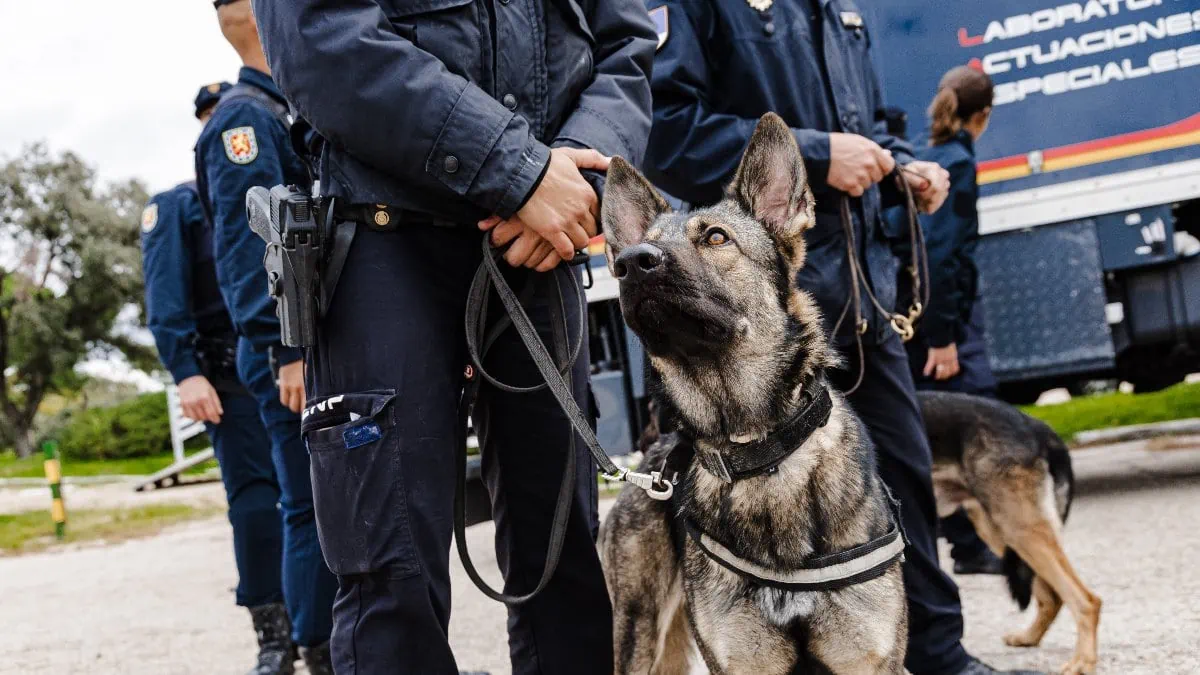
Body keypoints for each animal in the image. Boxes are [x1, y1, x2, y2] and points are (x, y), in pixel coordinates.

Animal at [595, 115, 902, 672]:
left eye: (716, 238)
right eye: (640, 246)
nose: (630, 261)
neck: (759, 450)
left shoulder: (868, 659)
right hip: (636, 632)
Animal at [921, 389, 1099, 672]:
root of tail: (1035, 424)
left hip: (1020, 530)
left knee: (1087, 601)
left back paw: (1082, 662)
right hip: (1002, 533)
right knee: (1053, 597)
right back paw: (1030, 637)